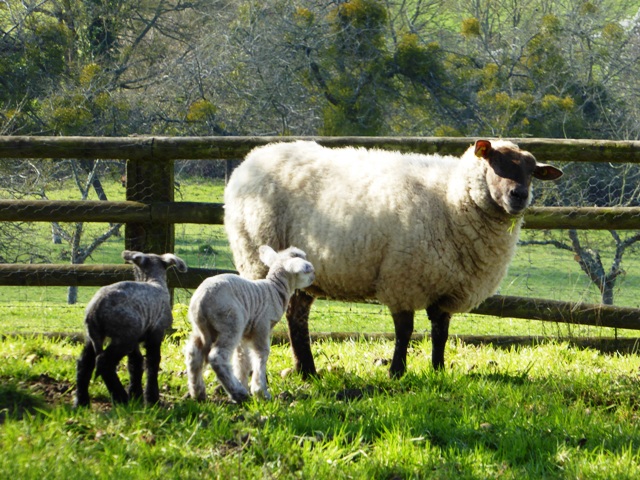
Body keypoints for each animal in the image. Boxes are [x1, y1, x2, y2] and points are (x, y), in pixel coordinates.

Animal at [74, 250, 187, 407]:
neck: (155, 281)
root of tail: (94, 310)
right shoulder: (156, 333)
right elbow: (152, 363)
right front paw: (152, 399)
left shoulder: (137, 338)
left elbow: (135, 363)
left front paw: (137, 395)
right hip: (124, 335)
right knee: (103, 362)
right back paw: (120, 398)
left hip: (94, 336)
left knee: (84, 363)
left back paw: (82, 401)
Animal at [184, 245, 315, 403]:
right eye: (306, 270)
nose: (314, 277)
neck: (274, 290)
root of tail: (201, 301)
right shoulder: (262, 326)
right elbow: (261, 355)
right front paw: (260, 391)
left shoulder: (245, 334)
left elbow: (242, 359)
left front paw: (243, 382)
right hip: (230, 323)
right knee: (217, 357)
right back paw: (238, 393)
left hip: (203, 328)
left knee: (194, 354)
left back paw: (198, 392)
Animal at [223, 139, 563, 379]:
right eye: (495, 164)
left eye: (532, 172)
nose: (519, 196)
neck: (451, 199)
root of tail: (252, 159)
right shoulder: (403, 278)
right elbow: (405, 331)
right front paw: (396, 372)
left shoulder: (448, 287)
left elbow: (441, 332)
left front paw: (438, 370)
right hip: (256, 257)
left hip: (302, 274)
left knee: (297, 316)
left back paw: (307, 371)